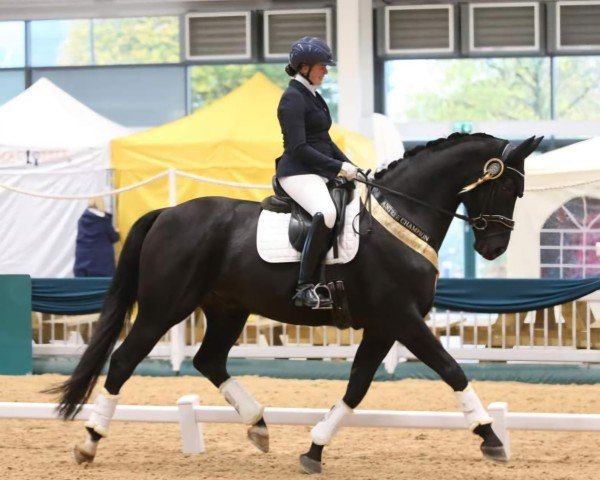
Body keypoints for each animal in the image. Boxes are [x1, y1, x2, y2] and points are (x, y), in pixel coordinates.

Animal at [49, 133, 540, 474]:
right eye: (506, 189)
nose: (494, 249)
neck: (401, 216)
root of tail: (166, 214)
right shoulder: (402, 318)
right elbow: (452, 369)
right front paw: (491, 437)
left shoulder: (385, 325)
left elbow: (357, 387)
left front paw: (314, 448)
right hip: (163, 308)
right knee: (123, 361)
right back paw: (89, 441)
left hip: (227, 309)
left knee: (209, 360)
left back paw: (258, 425)